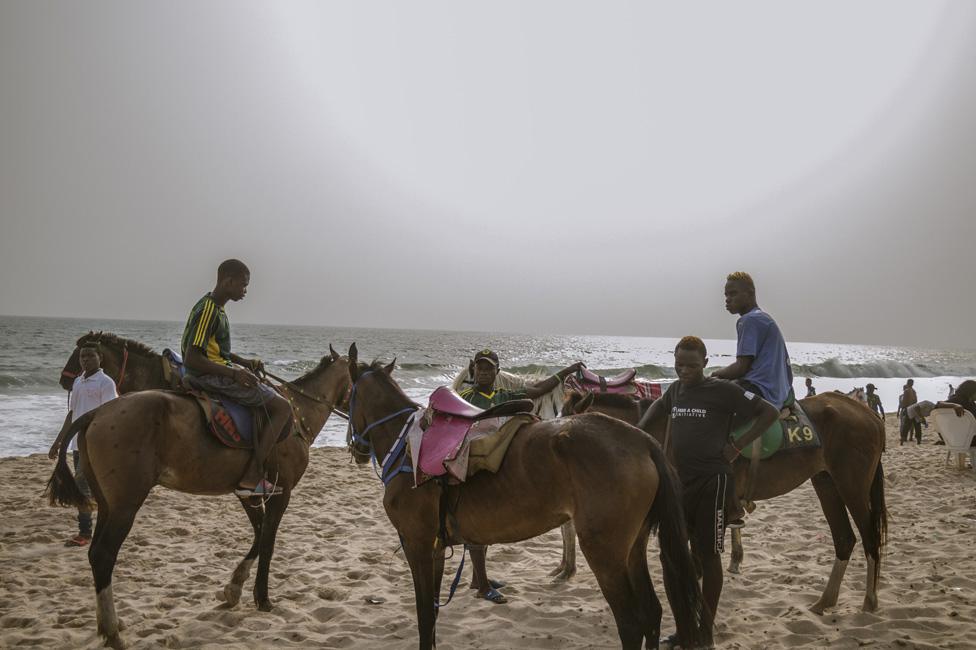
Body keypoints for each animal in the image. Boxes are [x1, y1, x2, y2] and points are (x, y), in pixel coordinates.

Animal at [46, 346, 350, 644]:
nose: (65, 380)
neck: (297, 413)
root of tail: (95, 413)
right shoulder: (280, 492)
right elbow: (267, 541)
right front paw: (262, 597)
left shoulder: (248, 493)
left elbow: (259, 534)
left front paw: (234, 587)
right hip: (125, 505)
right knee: (103, 554)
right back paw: (111, 631)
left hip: (108, 503)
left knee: (95, 553)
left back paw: (106, 624)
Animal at [346, 346, 712, 650]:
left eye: (348, 394)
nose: (358, 449)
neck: (408, 444)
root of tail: (641, 441)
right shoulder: (434, 548)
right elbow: (432, 616)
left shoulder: (417, 545)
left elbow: (424, 617)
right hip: (633, 548)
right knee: (652, 614)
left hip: (606, 553)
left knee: (632, 624)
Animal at [556, 388, 884, 616]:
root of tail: (868, 415)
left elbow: (698, 563)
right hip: (826, 481)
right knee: (845, 538)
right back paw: (826, 601)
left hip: (852, 485)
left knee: (869, 537)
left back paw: (869, 600)